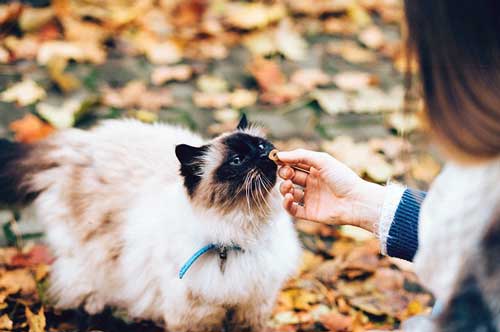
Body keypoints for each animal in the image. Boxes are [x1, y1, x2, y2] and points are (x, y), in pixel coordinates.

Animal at [0, 115, 300, 330]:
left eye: (260, 146)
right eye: (237, 161)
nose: (264, 155)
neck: (240, 237)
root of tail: (76, 143)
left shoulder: (252, 307)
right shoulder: (196, 316)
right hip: (92, 262)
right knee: (82, 291)